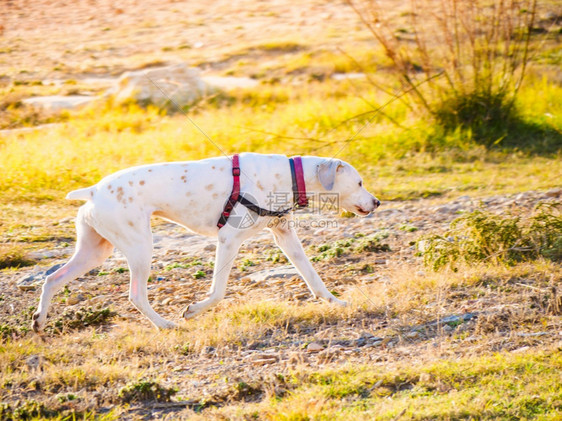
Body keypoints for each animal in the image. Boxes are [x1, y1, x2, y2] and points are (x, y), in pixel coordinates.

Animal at [31, 153, 380, 330]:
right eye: (360, 182)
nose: (377, 202)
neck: (289, 174)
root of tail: (93, 190)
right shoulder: (229, 240)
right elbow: (218, 291)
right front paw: (194, 310)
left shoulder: (285, 237)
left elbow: (313, 277)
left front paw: (335, 301)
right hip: (140, 248)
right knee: (136, 295)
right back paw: (167, 325)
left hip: (94, 252)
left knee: (53, 279)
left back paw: (39, 320)